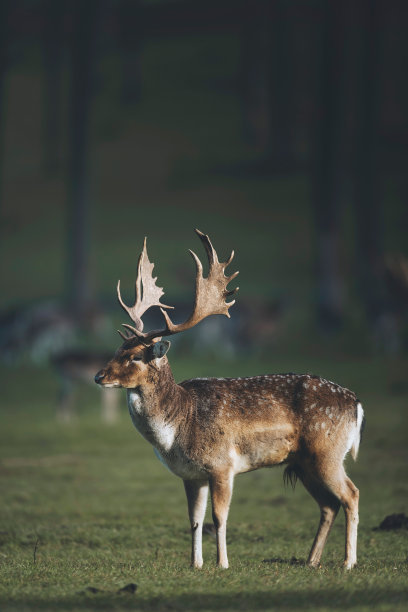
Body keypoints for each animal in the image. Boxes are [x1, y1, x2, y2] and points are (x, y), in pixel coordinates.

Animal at [95, 230, 364, 568]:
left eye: (133, 356)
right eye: (117, 349)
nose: (99, 376)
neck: (178, 427)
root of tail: (356, 403)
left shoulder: (222, 464)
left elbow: (219, 517)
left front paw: (222, 564)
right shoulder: (191, 474)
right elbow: (194, 520)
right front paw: (195, 564)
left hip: (327, 452)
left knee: (351, 494)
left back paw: (348, 563)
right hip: (304, 462)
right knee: (329, 504)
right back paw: (311, 561)